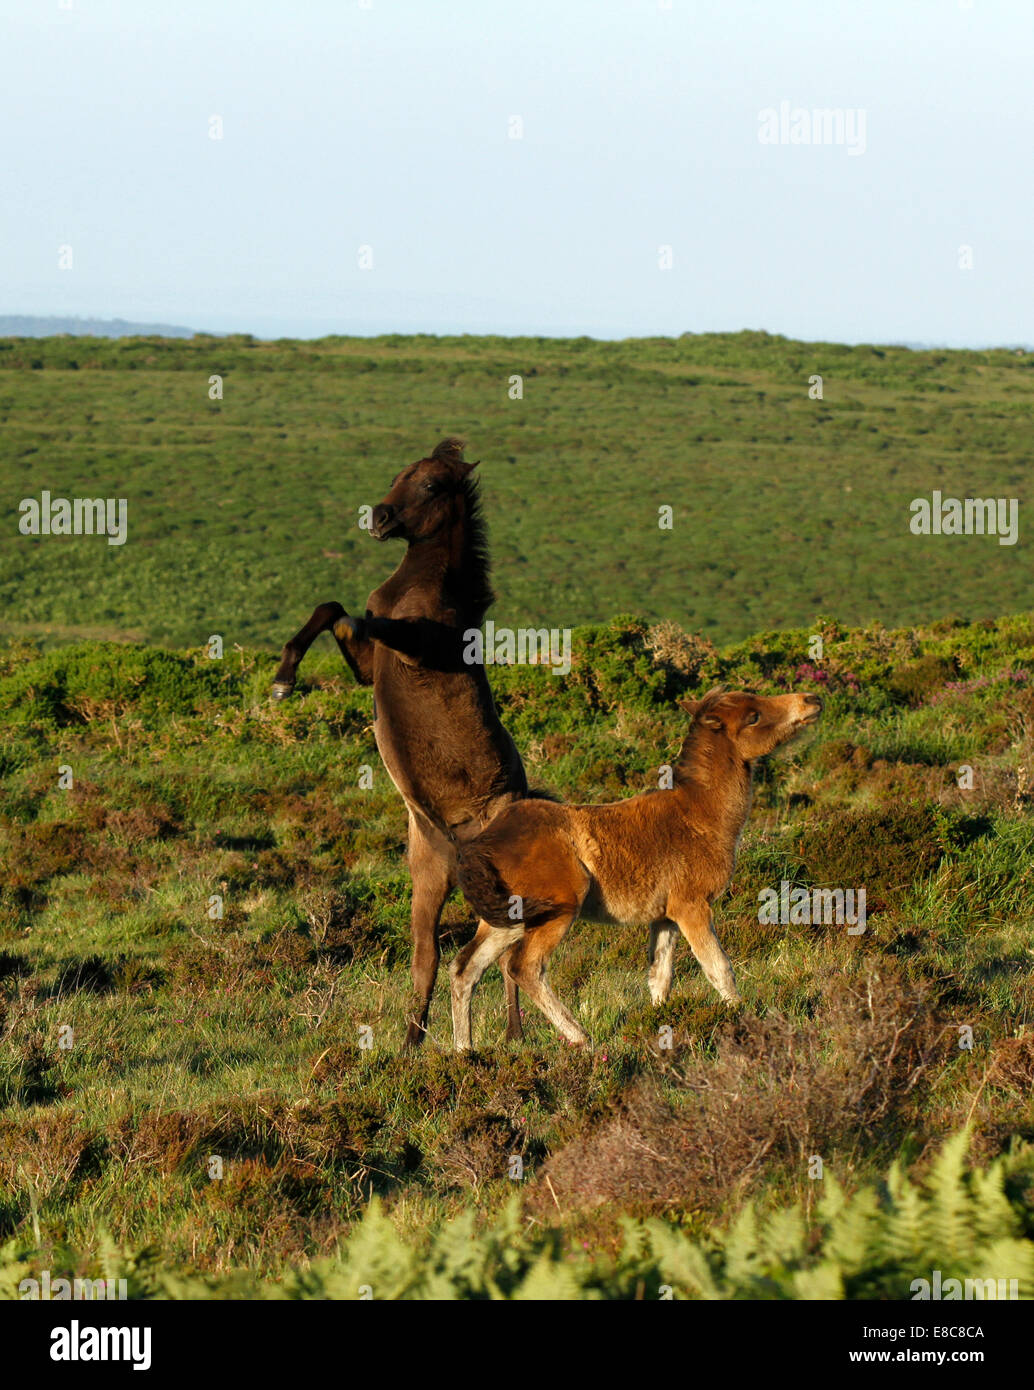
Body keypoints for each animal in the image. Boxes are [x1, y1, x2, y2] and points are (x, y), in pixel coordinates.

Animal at [268, 439, 533, 1045]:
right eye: (397, 475)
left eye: (432, 485)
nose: (379, 519)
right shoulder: (370, 666)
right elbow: (333, 610)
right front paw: (283, 678)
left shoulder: (417, 651)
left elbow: (368, 623)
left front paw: (286, 676)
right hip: (430, 875)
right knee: (430, 959)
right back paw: (414, 1043)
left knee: (505, 957)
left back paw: (509, 1037)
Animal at [447, 689, 817, 1045]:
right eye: (752, 716)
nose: (811, 701)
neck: (698, 813)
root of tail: (483, 843)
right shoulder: (692, 906)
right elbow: (718, 967)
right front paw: (741, 1017)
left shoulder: (665, 916)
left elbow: (660, 976)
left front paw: (658, 1023)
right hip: (556, 910)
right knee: (523, 967)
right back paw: (581, 1038)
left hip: (506, 919)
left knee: (465, 968)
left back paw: (466, 1051)